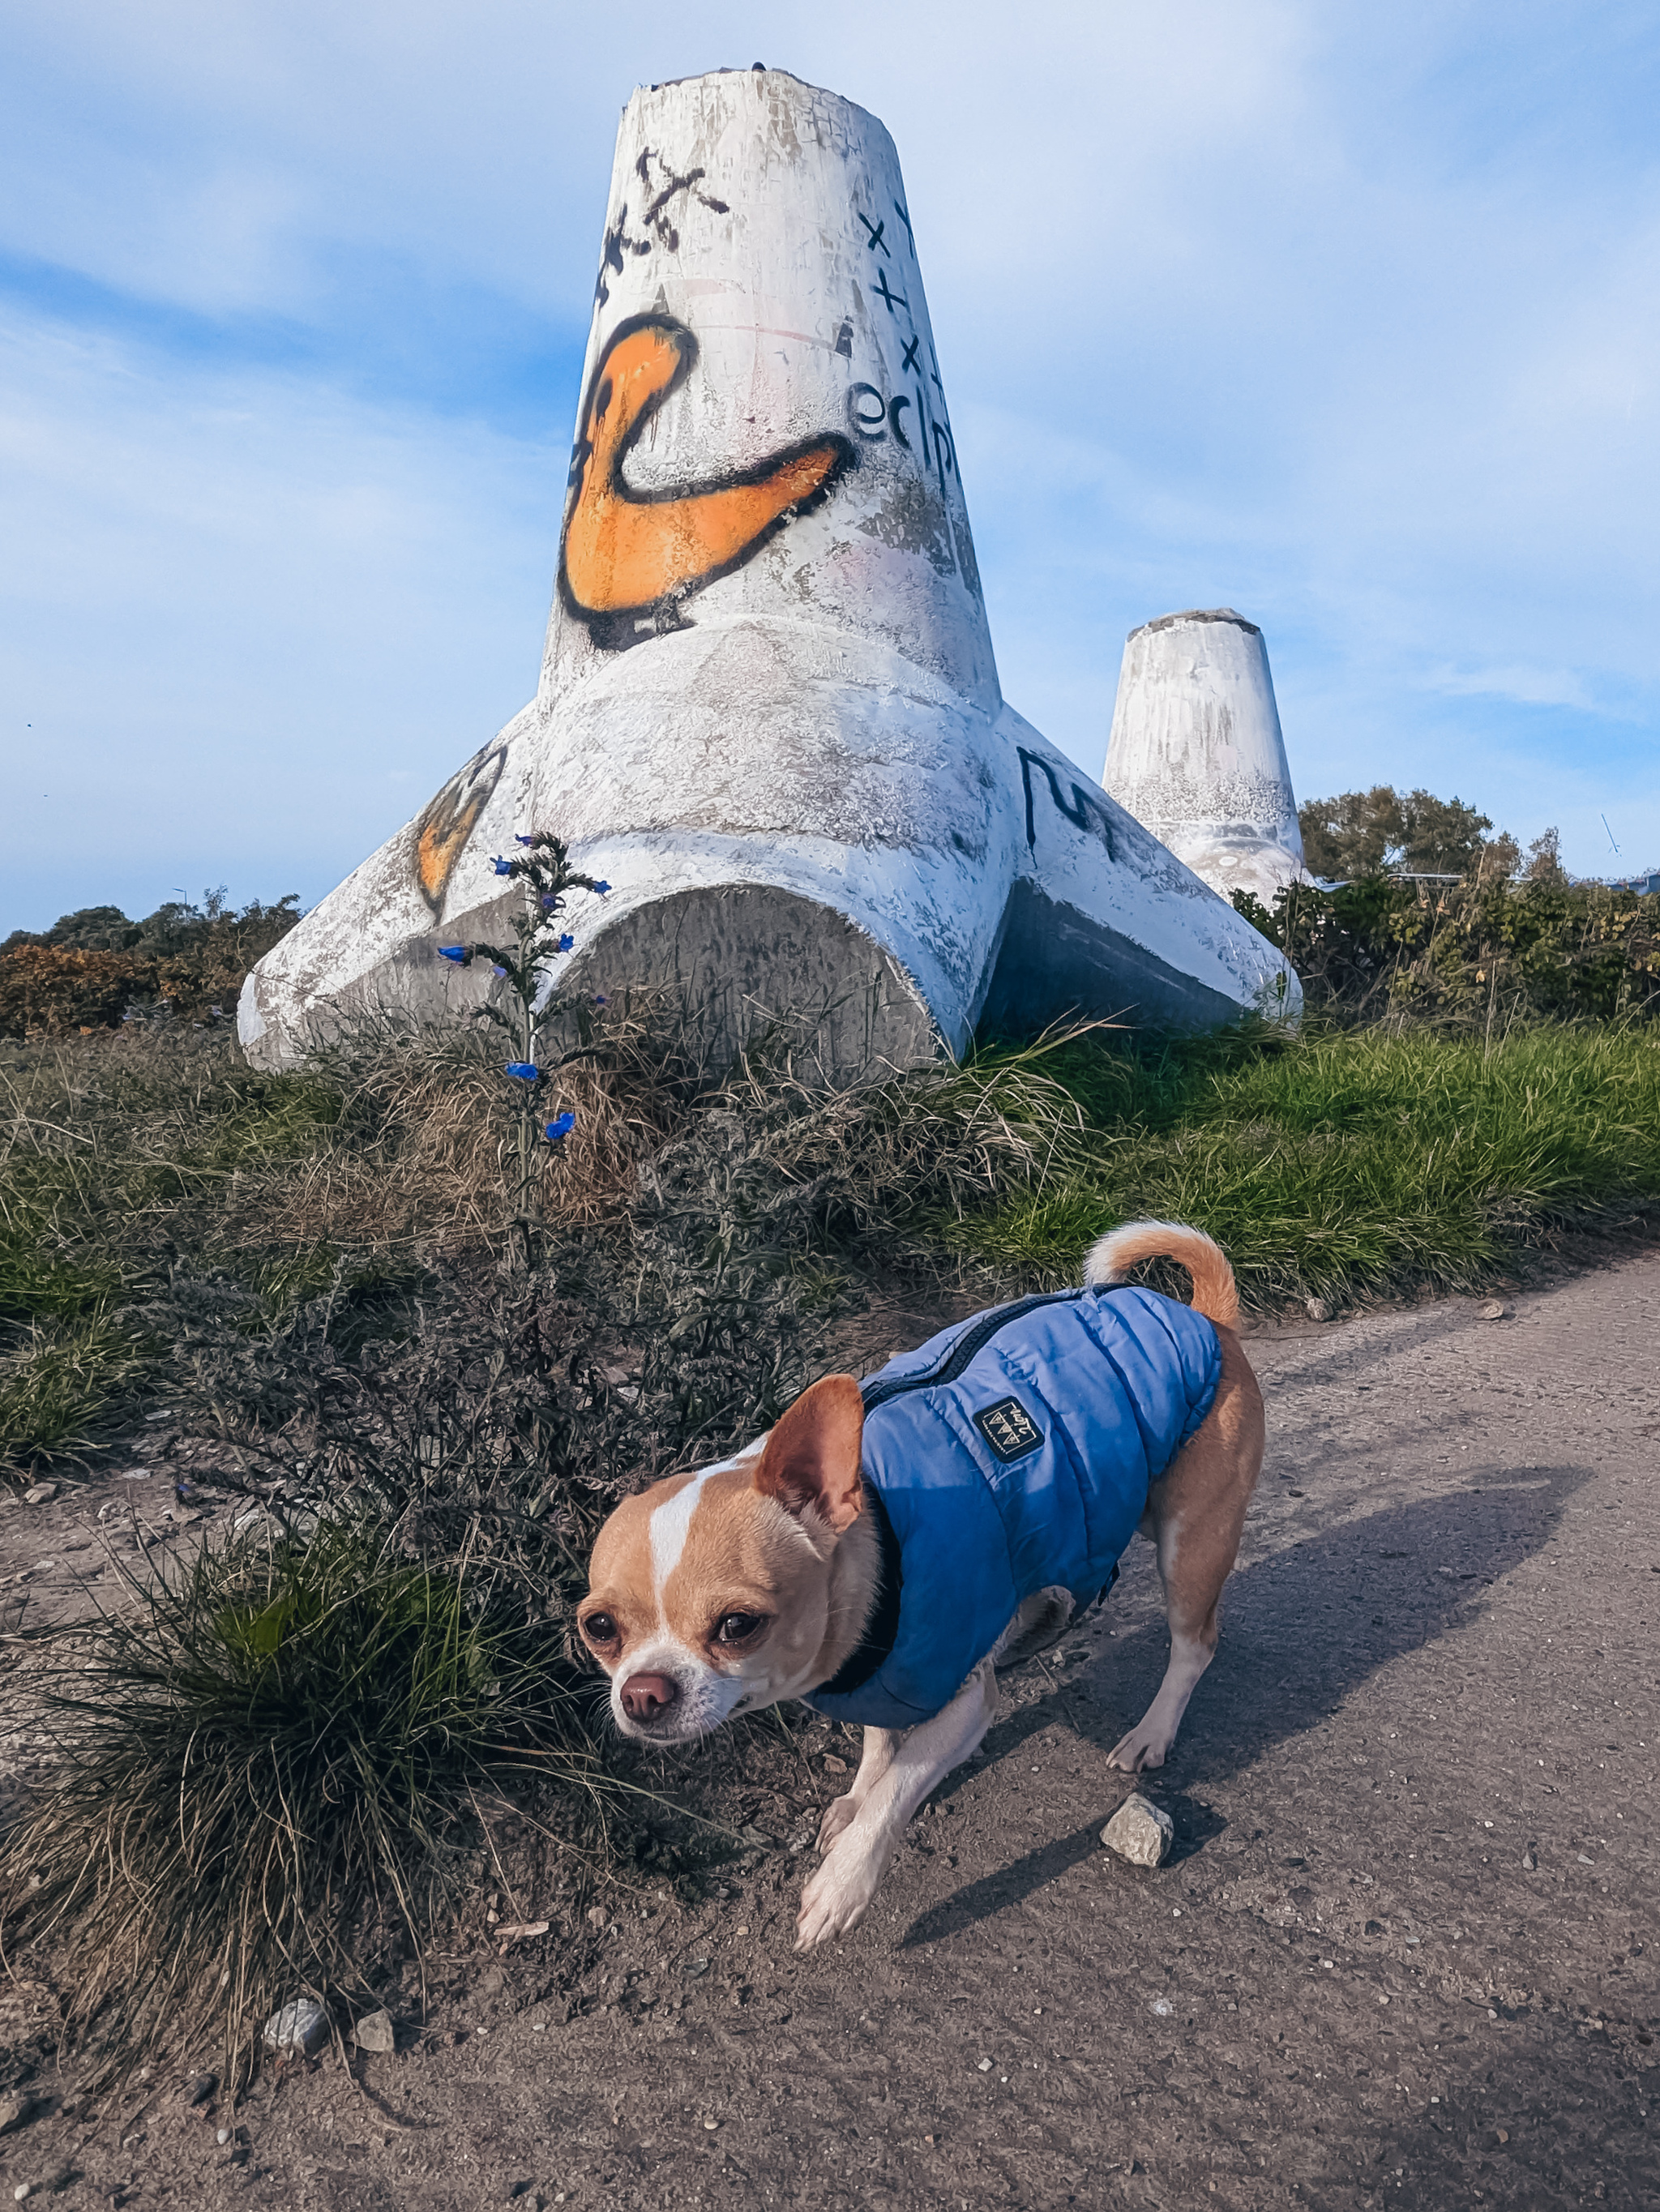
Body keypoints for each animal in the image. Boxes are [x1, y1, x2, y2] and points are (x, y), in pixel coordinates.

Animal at [580, 1230, 1265, 1955]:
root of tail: (1207, 1319)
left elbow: (898, 1788)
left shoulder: (962, 1701)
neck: (879, 1527)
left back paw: (1152, 1730)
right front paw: (856, 1795)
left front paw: (843, 1880)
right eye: (599, 1628)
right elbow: (879, 1746)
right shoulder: (883, 1674)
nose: (642, 1692)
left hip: (1191, 1543)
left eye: (739, 1624)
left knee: (1194, 1645)